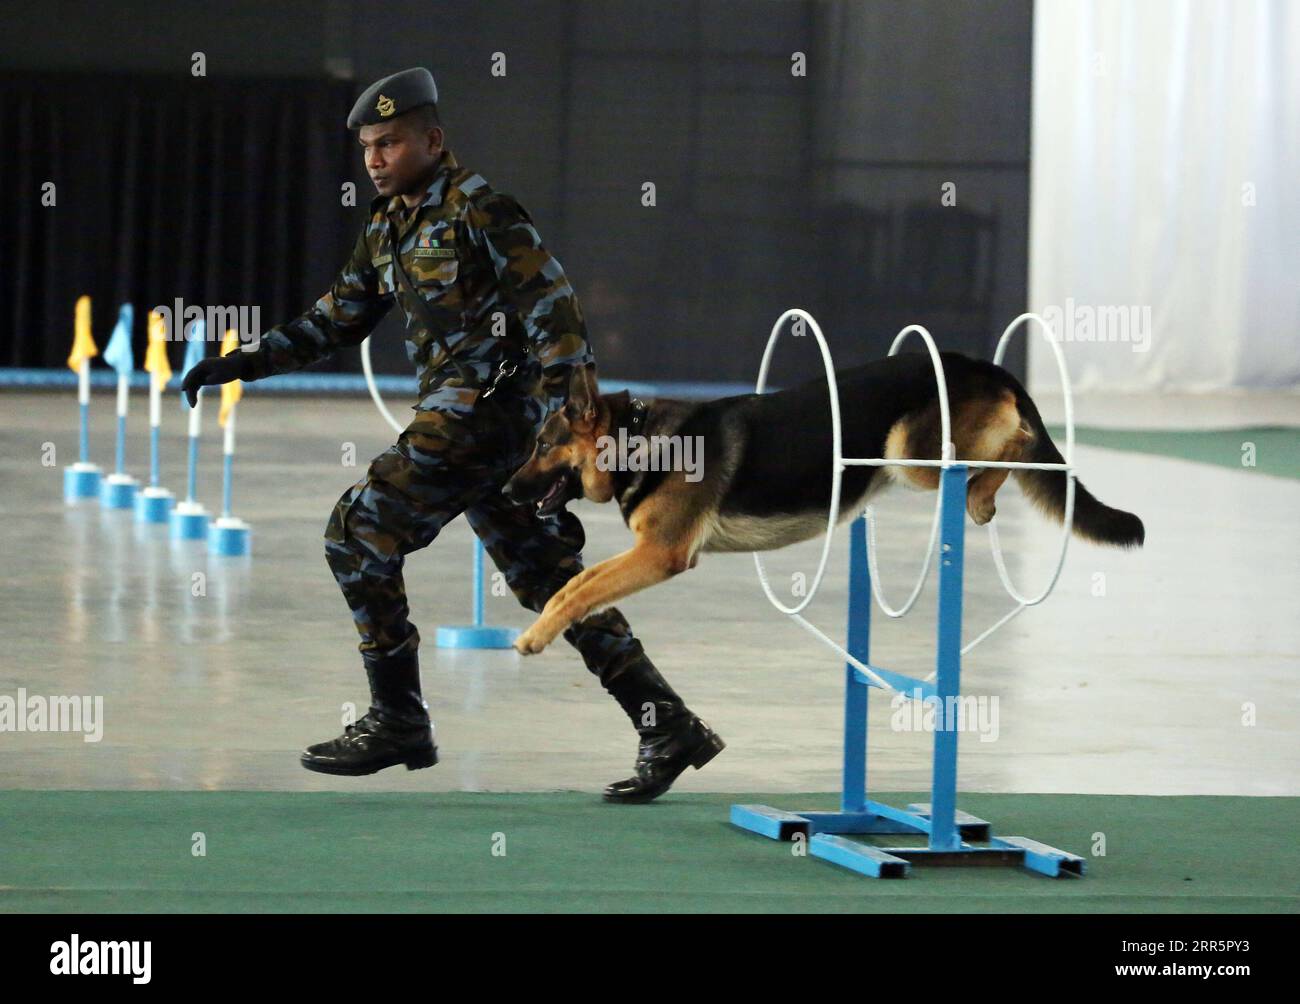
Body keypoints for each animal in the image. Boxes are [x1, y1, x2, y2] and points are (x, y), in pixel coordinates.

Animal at [501, 356, 1144, 655]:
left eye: (542, 446)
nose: (504, 492)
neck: (639, 441)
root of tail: (980, 364)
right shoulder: (646, 553)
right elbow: (575, 586)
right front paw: (544, 626)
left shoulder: (660, 554)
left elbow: (579, 590)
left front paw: (536, 637)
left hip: (907, 454)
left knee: (1018, 444)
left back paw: (984, 492)